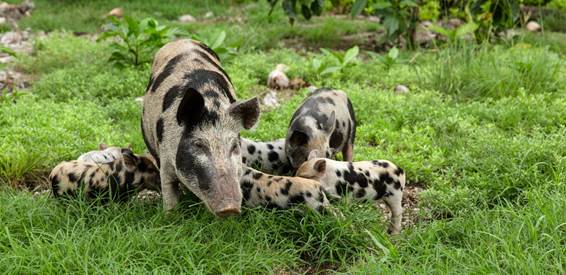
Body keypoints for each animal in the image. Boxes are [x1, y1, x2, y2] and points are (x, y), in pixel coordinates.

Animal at [142, 38, 262, 217]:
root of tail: (181, 39)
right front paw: (170, 216)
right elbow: (169, 190)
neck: (211, 103)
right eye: (198, 145)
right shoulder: (165, 160)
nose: (230, 208)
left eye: (234, 146)